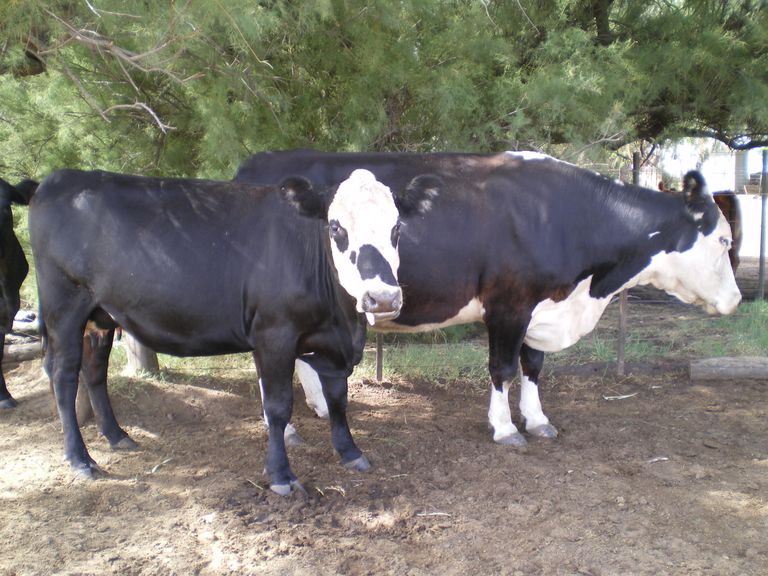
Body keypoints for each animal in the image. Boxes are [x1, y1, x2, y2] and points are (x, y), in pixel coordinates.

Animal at [237, 151, 740, 448]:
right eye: (723, 240)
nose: (735, 299)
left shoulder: (542, 306)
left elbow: (534, 367)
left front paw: (537, 420)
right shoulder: (509, 304)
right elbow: (503, 368)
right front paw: (505, 428)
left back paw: (320, 407)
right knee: (268, 366)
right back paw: (287, 427)